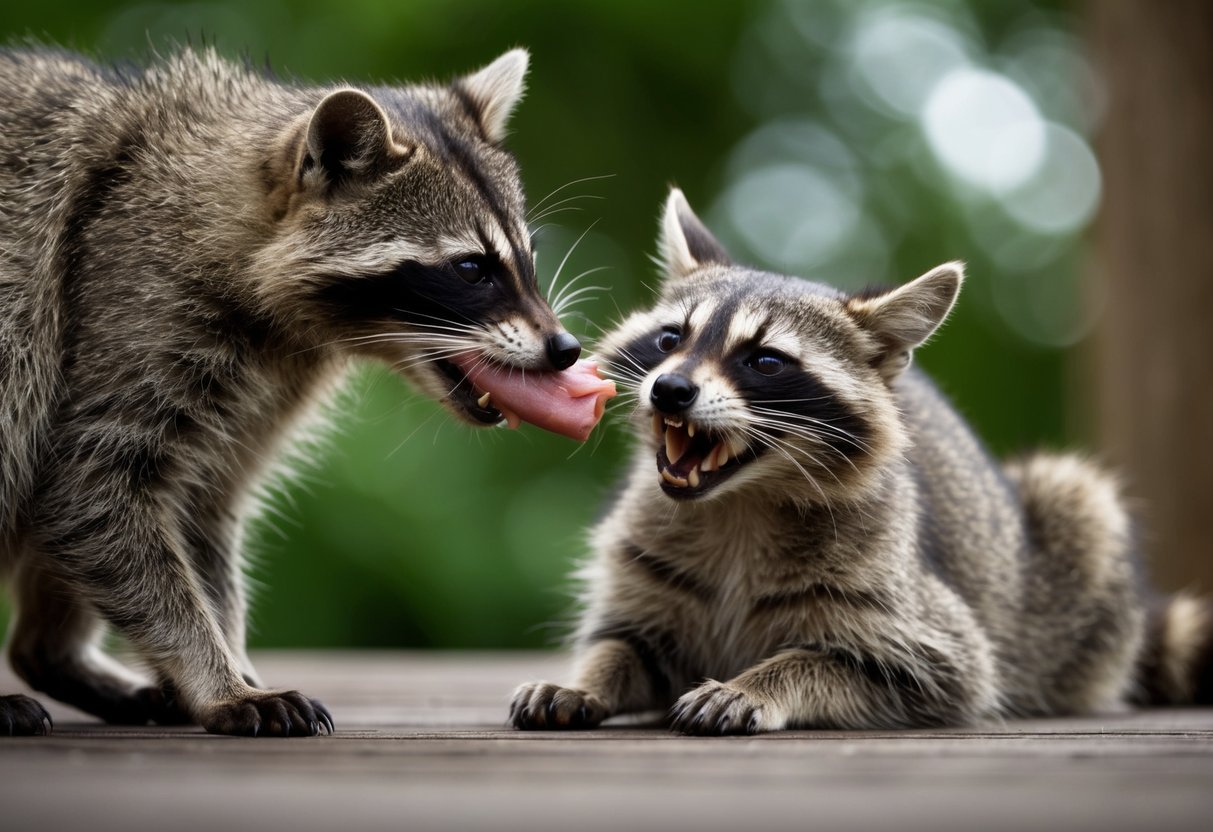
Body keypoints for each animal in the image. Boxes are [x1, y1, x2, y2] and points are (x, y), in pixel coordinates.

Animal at [0, 45, 583, 736]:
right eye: (471, 268)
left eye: (528, 259)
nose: (566, 349)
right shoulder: (123, 311)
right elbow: (87, 489)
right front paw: (214, 674)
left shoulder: (254, 401)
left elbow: (203, 519)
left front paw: (230, 661)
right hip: (25, 352)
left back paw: (51, 652)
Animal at [509, 189, 1213, 734]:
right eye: (670, 338)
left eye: (765, 360)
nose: (670, 390)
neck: (739, 502)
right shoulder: (644, 561)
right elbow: (624, 641)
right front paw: (588, 677)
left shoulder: (918, 619)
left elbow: (895, 665)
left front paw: (761, 681)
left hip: (1072, 529)